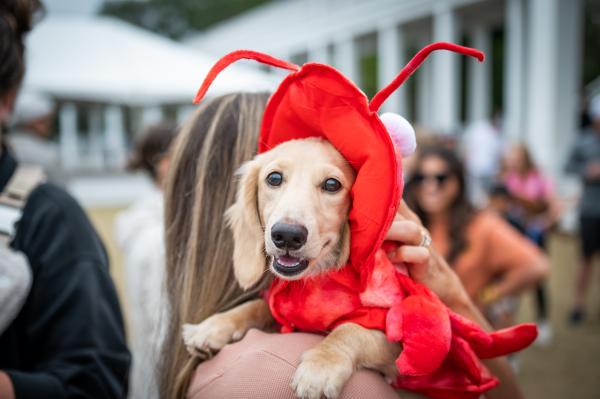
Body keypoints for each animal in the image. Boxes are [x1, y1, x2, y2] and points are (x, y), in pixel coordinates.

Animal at [180, 138, 400, 399]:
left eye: (332, 184)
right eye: (274, 178)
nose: (287, 235)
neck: (312, 281)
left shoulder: (396, 341)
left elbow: (350, 330)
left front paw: (321, 366)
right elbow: (257, 306)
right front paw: (213, 326)